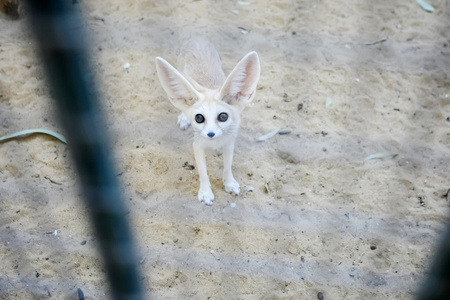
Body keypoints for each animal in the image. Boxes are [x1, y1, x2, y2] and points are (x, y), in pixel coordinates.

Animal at [156, 38, 260, 206]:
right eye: (199, 118)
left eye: (223, 116)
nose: (210, 134)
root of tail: (197, 38)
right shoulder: (197, 145)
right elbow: (203, 172)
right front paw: (205, 192)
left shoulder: (229, 142)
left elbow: (227, 166)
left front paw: (229, 183)